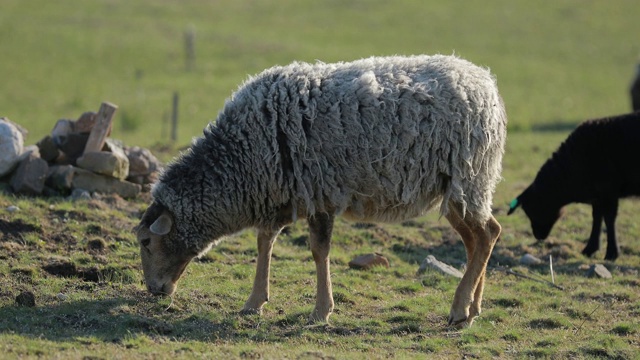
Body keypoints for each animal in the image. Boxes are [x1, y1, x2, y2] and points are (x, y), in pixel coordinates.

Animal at [138, 54, 508, 328]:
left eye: (145, 242)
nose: (154, 291)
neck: (241, 159)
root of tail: (486, 82)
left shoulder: (317, 193)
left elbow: (318, 251)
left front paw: (320, 311)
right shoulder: (280, 194)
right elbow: (265, 243)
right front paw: (255, 302)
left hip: (469, 178)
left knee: (488, 234)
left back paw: (460, 308)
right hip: (460, 188)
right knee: (479, 239)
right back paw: (473, 308)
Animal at [512, 111, 640, 260]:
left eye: (531, 209)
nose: (538, 235)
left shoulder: (608, 189)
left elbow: (609, 218)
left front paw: (611, 253)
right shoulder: (597, 195)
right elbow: (597, 217)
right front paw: (590, 249)